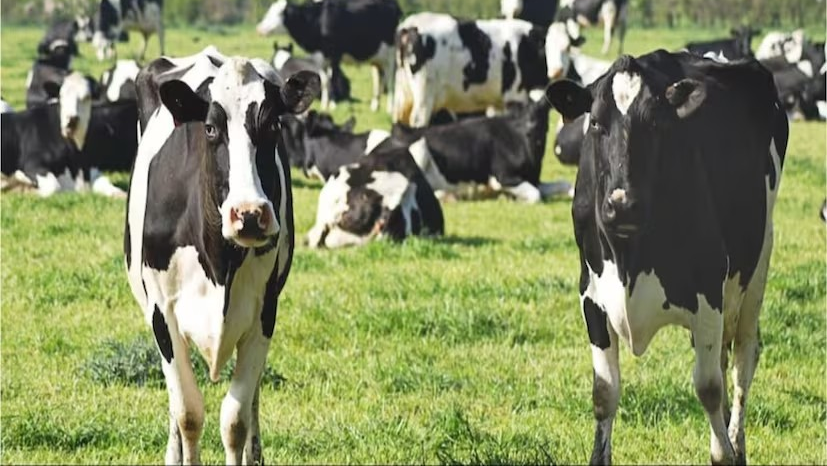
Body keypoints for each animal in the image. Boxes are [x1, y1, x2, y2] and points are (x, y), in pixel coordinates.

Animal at [124, 49, 320, 464]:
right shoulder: (162, 313)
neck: (219, 264)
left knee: (254, 396)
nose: (250, 214)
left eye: (274, 125)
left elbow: (235, 419)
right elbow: (188, 413)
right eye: (212, 129)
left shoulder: (264, 311)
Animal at [256, 0, 401, 112]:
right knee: (379, 79)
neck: (317, 20)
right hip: (377, 58)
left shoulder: (335, 55)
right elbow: (325, 81)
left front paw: (333, 105)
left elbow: (333, 79)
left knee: (390, 79)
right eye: (268, 12)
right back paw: (375, 106)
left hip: (391, 54)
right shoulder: (320, 58)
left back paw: (390, 108)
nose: (260, 29)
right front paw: (324, 105)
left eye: (278, 14)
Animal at [390, 92, 572, 202]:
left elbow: (565, 184)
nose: (531, 127)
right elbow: (536, 194)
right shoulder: (503, 177)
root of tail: (402, 129)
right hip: (419, 150)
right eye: (520, 112)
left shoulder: (535, 179)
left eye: (542, 110)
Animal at [394, 14, 554, 127]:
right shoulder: (515, 95)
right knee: (418, 120)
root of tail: (409, 25)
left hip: (403, 94)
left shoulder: (497, 102)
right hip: (425, 94)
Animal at [545, 50, 788, 464]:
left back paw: (736, 442)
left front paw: (724, 451)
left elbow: (708, 388)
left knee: (743, 360)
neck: (629, 257)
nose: (622, 205)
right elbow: (604, 393)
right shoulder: (591, 295)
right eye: (596, 123)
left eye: (655, 124)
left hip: (757, 263)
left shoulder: (708, 292)